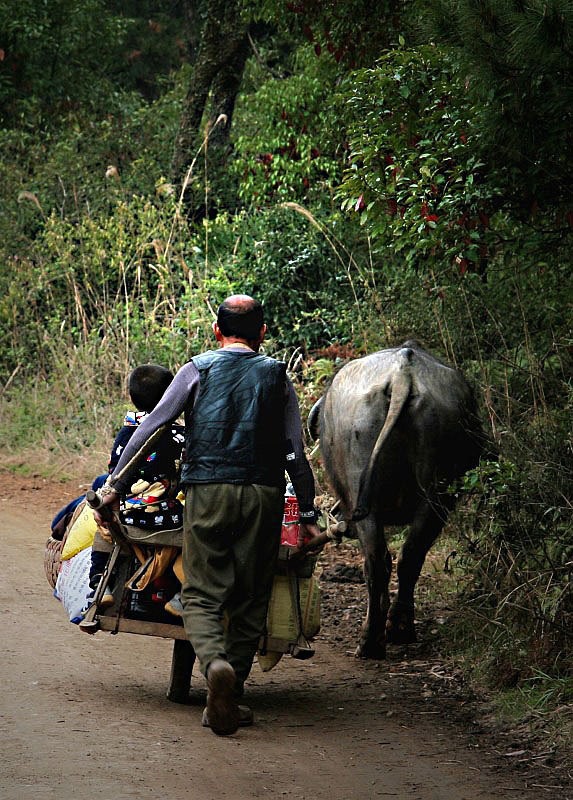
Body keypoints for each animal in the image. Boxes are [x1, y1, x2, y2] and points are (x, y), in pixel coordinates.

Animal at [308, 340, 482, 660]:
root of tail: (403, 373)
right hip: (436, 492)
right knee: (408, 556)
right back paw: (397, 628)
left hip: (364, 487)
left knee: (377, 560)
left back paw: (371, 639)